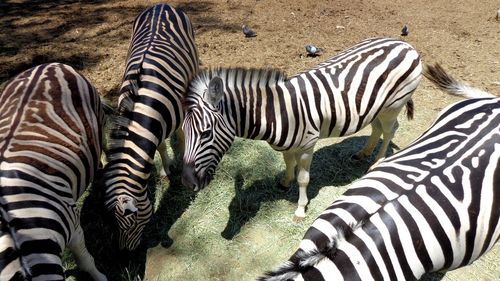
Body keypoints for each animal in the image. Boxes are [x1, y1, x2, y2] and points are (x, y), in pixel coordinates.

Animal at [95, 3, 199, 249]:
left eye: (131, 222)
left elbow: (182, 134)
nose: (125, 252)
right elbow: (160, 147)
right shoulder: (155, 130)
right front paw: (165, 167)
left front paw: (181, 158)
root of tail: (161, 5)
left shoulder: (178, 114)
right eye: (111, 225)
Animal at [180, 36, 422, 219]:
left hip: (393, 105)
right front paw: (285, 182)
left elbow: (303, 179)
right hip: (375, 107)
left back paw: (377, 162)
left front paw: (300, 209)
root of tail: (404, 43)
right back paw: (363, 154)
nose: (186, 183)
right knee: (377, 129)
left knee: (390, 130)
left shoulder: (307, 145)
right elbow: (288, 164)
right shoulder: (287, 146)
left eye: (206, 133)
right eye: (184, 132)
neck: (276, 112)